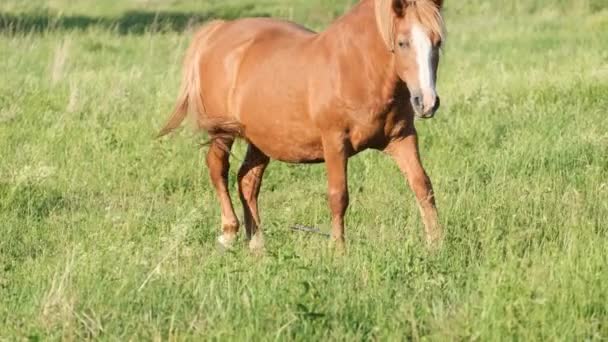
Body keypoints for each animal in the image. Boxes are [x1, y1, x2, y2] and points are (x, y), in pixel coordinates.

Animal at [159, 0, 446, 251]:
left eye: (437, 42)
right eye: (402, 43)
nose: (427, 102)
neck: (356, 68)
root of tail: (217, 31)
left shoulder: (402, 138)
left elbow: (423, 186)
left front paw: (436, 244)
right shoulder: (334, 142)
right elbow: (338, 196)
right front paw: (338, 250)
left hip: (262, 139)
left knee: (247, 181)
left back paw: (256, 243)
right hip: (223, 132)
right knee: (218, 169)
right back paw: (229, 233)